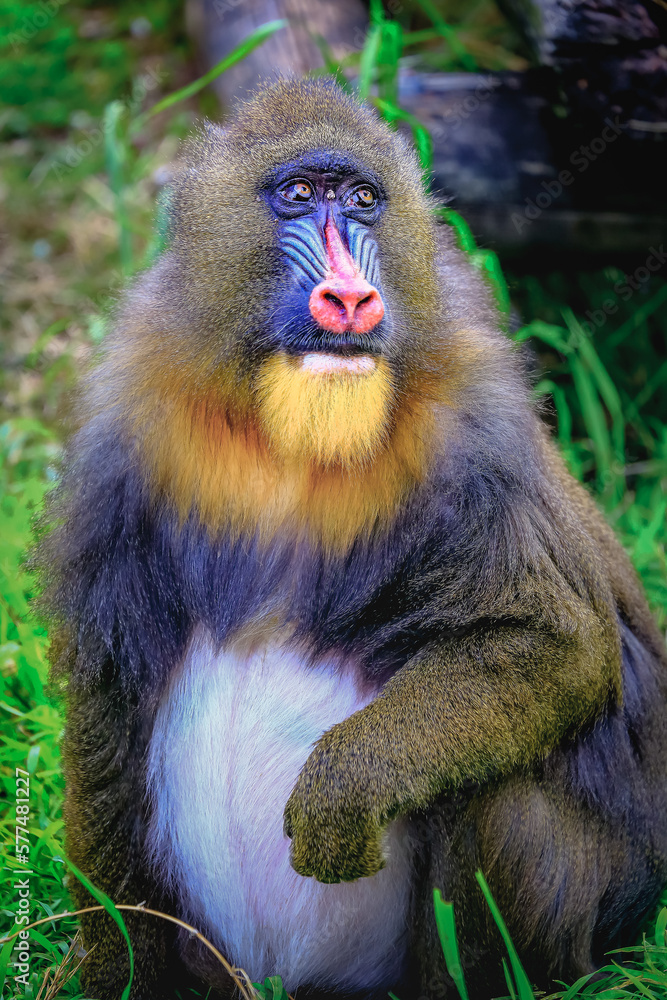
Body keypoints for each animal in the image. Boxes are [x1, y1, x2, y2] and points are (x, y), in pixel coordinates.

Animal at [37, 78, 667, 1000]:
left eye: (363, 201)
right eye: (299, 194)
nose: (350, 298)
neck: (286, 438)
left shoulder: (474, 433)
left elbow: (553, 646)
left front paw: (343, 790)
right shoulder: (128, 431)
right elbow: (107, 699)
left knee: (498, 792)